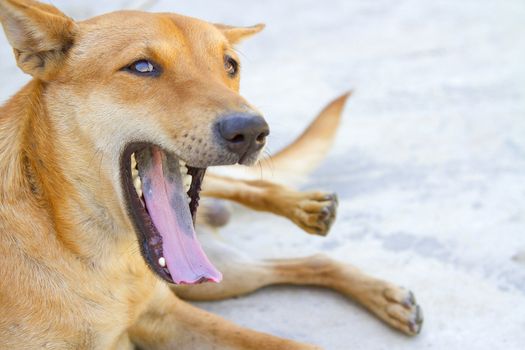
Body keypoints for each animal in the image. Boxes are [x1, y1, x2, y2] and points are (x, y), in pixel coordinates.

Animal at [0, 1, 420, 348]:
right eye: (142, 67)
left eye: (230, 65)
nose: (251, 131)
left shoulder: (166, 312)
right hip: (216, 281)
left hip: (213, 281)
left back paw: (312, 213)